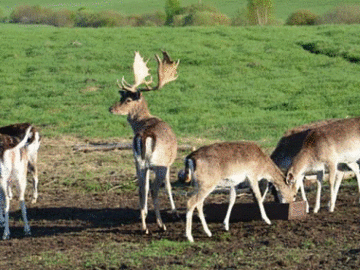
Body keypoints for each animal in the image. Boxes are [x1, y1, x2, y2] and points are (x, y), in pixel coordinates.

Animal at [108, 50, 179, 234]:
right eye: (123, 97)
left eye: (127, 99)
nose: (111, 108)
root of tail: (144, 136)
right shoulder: (168, 162)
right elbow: (169, 186)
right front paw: (174, 212)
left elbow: (145, 187)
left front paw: (145, 213)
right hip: (158, 163)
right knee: (154, 189)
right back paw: (161, 224)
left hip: (138, 162)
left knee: (141, 188)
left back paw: (144, 226)